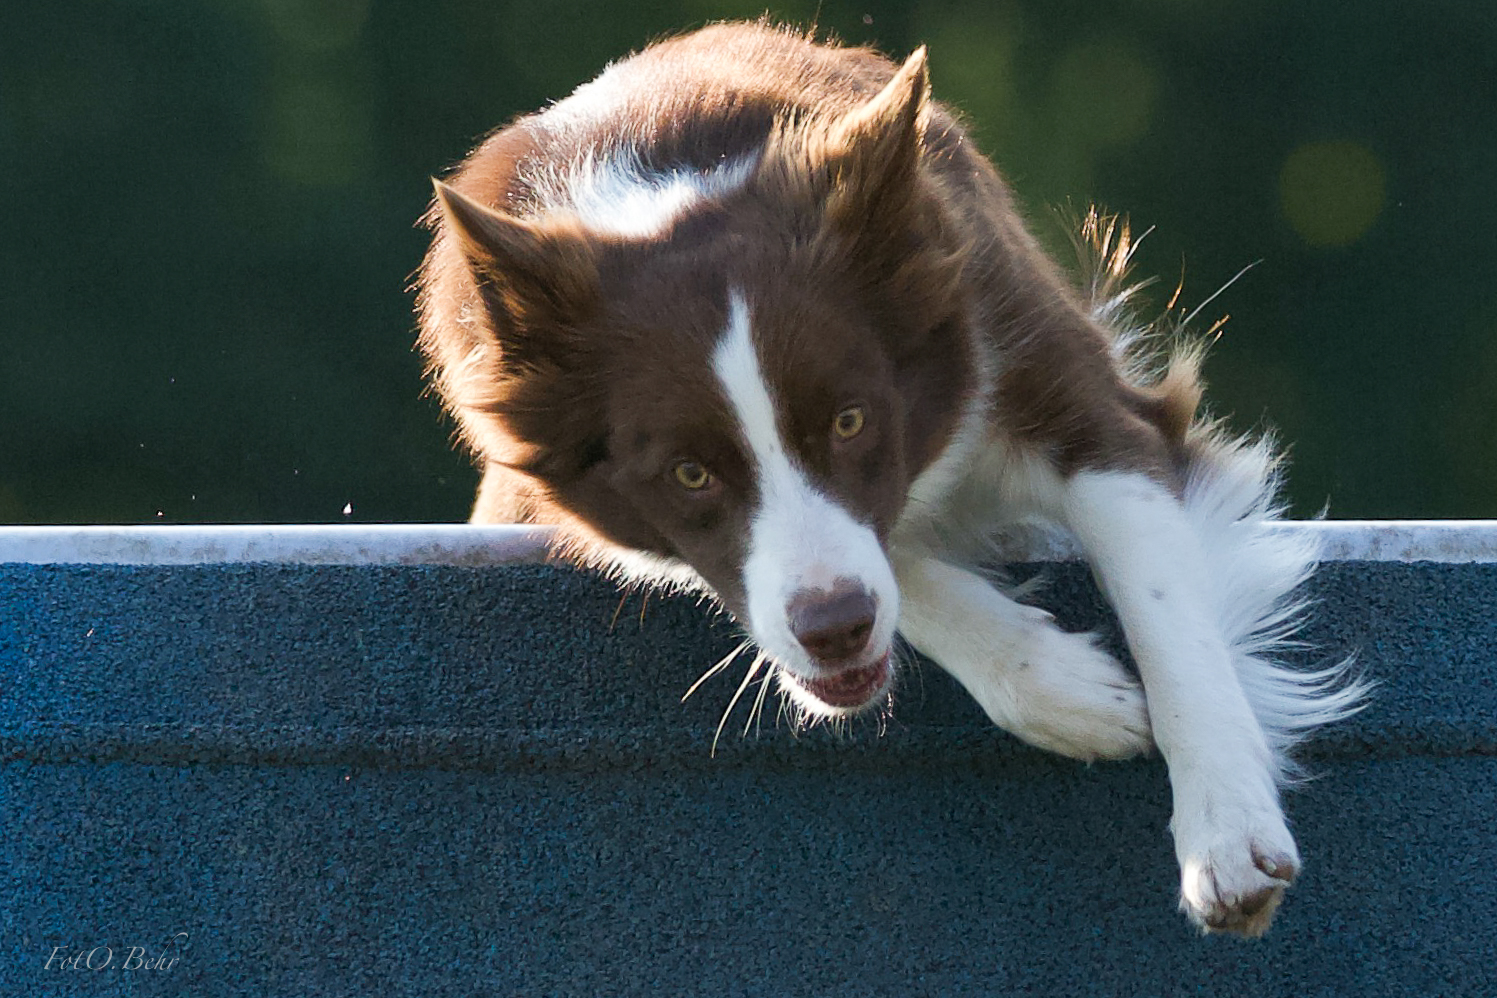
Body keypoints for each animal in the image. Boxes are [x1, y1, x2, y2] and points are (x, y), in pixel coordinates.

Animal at [416, 21, 1365, 939]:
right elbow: (896, 566)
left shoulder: (1044, 367)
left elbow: (1166, 616)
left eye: (850, 422)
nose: (833, 633)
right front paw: (1060, 687)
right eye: (688, 473)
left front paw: (1227, 834)